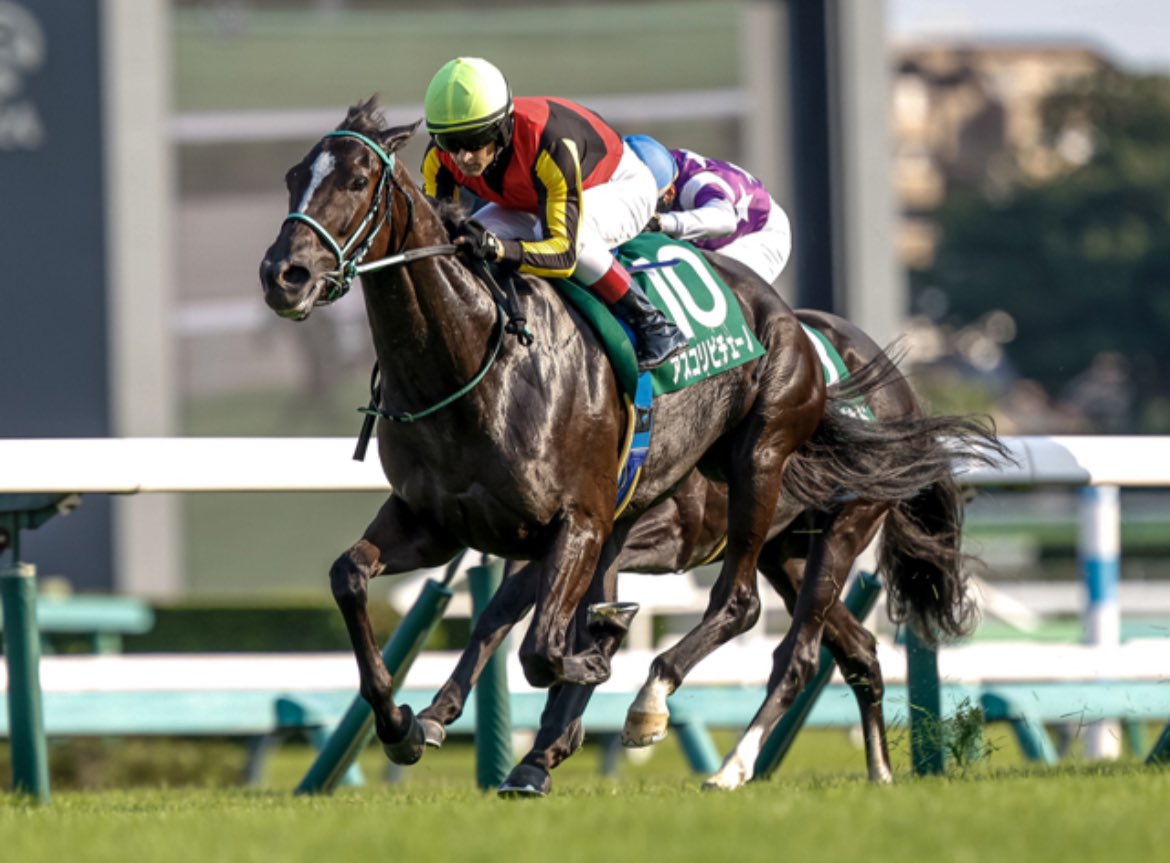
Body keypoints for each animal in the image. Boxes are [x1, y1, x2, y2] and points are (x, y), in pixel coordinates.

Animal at [260, 97, 856, 763]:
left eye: (358, 180)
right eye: (293, 176)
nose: (282, 274)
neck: (475, 365)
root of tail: (782, 311)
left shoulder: (578, 520)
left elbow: (540, 651)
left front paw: (596, 655)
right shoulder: (432, 523)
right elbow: (350, 577)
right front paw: (399, 725)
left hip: (762, 461)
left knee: (741, 601)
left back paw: (651, 701)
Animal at [407, 308, 1008, 795]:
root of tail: (897, 383)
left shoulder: (649, 531)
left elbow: (565, 616)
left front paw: (558, 736)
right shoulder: (566, 536)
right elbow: (505, 614)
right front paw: (445, 718)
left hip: (844, 524)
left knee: (797, 652)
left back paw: (730, 765)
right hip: (783, 550)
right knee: (857, 647)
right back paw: (879, 771)